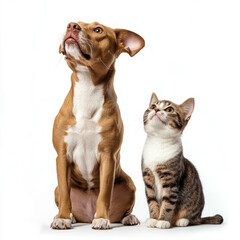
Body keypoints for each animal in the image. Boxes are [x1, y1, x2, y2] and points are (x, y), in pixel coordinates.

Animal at [50, 21, 144, 230]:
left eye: (98, 30)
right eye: (74, 23)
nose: (72, 25)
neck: (87, 86)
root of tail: (86, 213)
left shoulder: (108, 156)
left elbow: (105, 194)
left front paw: (101, 218)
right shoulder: (62, 155)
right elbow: (66, 194)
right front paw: (62, 218)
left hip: (129, 184)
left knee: (123, 209)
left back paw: (128, 217)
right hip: (56, 188)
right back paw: (71, 217)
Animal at [141, 92, 223, 229]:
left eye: (169, 109)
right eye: (153, 106)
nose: (156, 110)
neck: (158, 141)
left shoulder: (171, 180)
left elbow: (168, 203)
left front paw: (162, 220)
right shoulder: (148, 179)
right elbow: (152, 200)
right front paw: (153, 219)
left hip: (193, 208)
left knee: (193, 219)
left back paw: (182, 220)